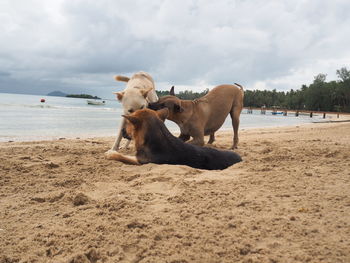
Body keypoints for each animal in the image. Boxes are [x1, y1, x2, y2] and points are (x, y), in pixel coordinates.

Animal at [104, 108, 242, 170]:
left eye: (127, 124)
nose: (122, 131)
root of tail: (241, 158)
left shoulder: (142, 161)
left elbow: (123, 157)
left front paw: (111, 153)